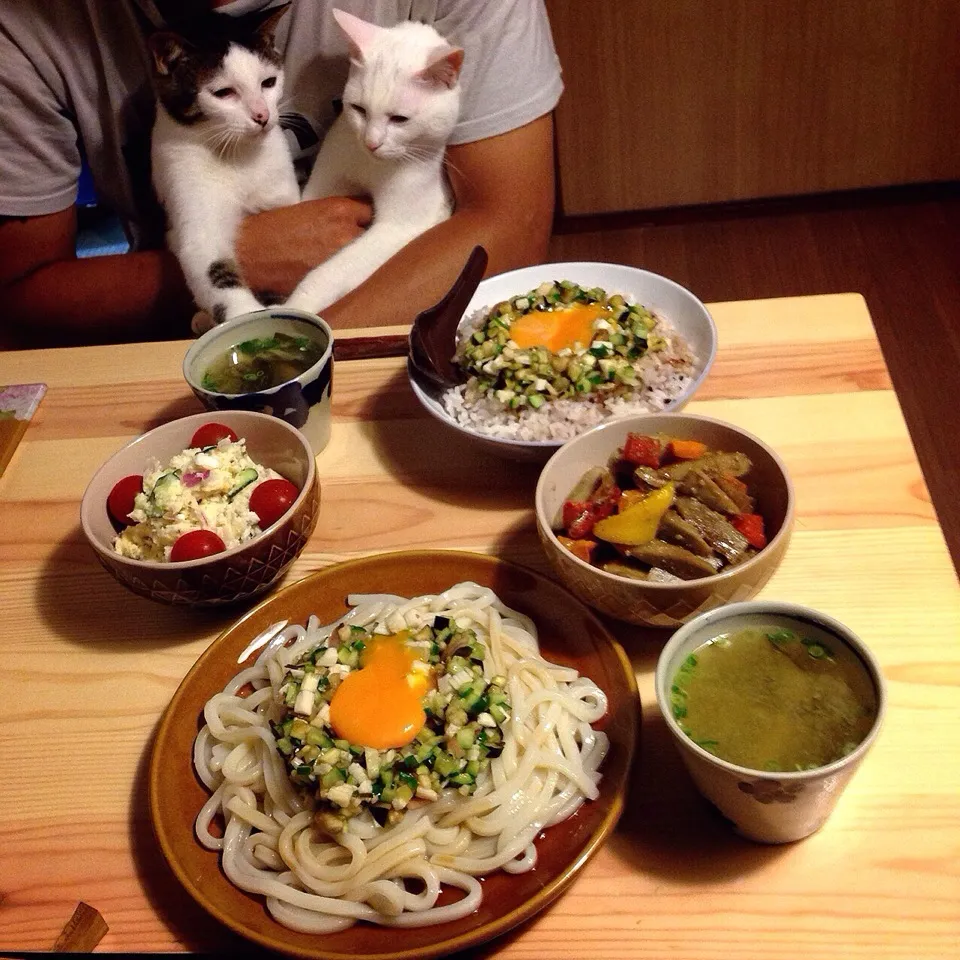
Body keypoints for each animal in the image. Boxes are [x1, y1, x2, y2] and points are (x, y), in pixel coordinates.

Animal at [148, 3, 298, 328]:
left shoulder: (283, 196)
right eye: (223, 93)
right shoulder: (189, 204)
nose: (262, 115)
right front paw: (245, 317)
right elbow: (210, 264)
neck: (238, 155)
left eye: (269, 83)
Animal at [284, 10, 464, 316]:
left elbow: (329, 272)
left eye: (400, 119)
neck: (371, 167)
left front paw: (297, 306)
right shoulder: (324, 182)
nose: (371, 143)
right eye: (359, 109)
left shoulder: (399, 225)